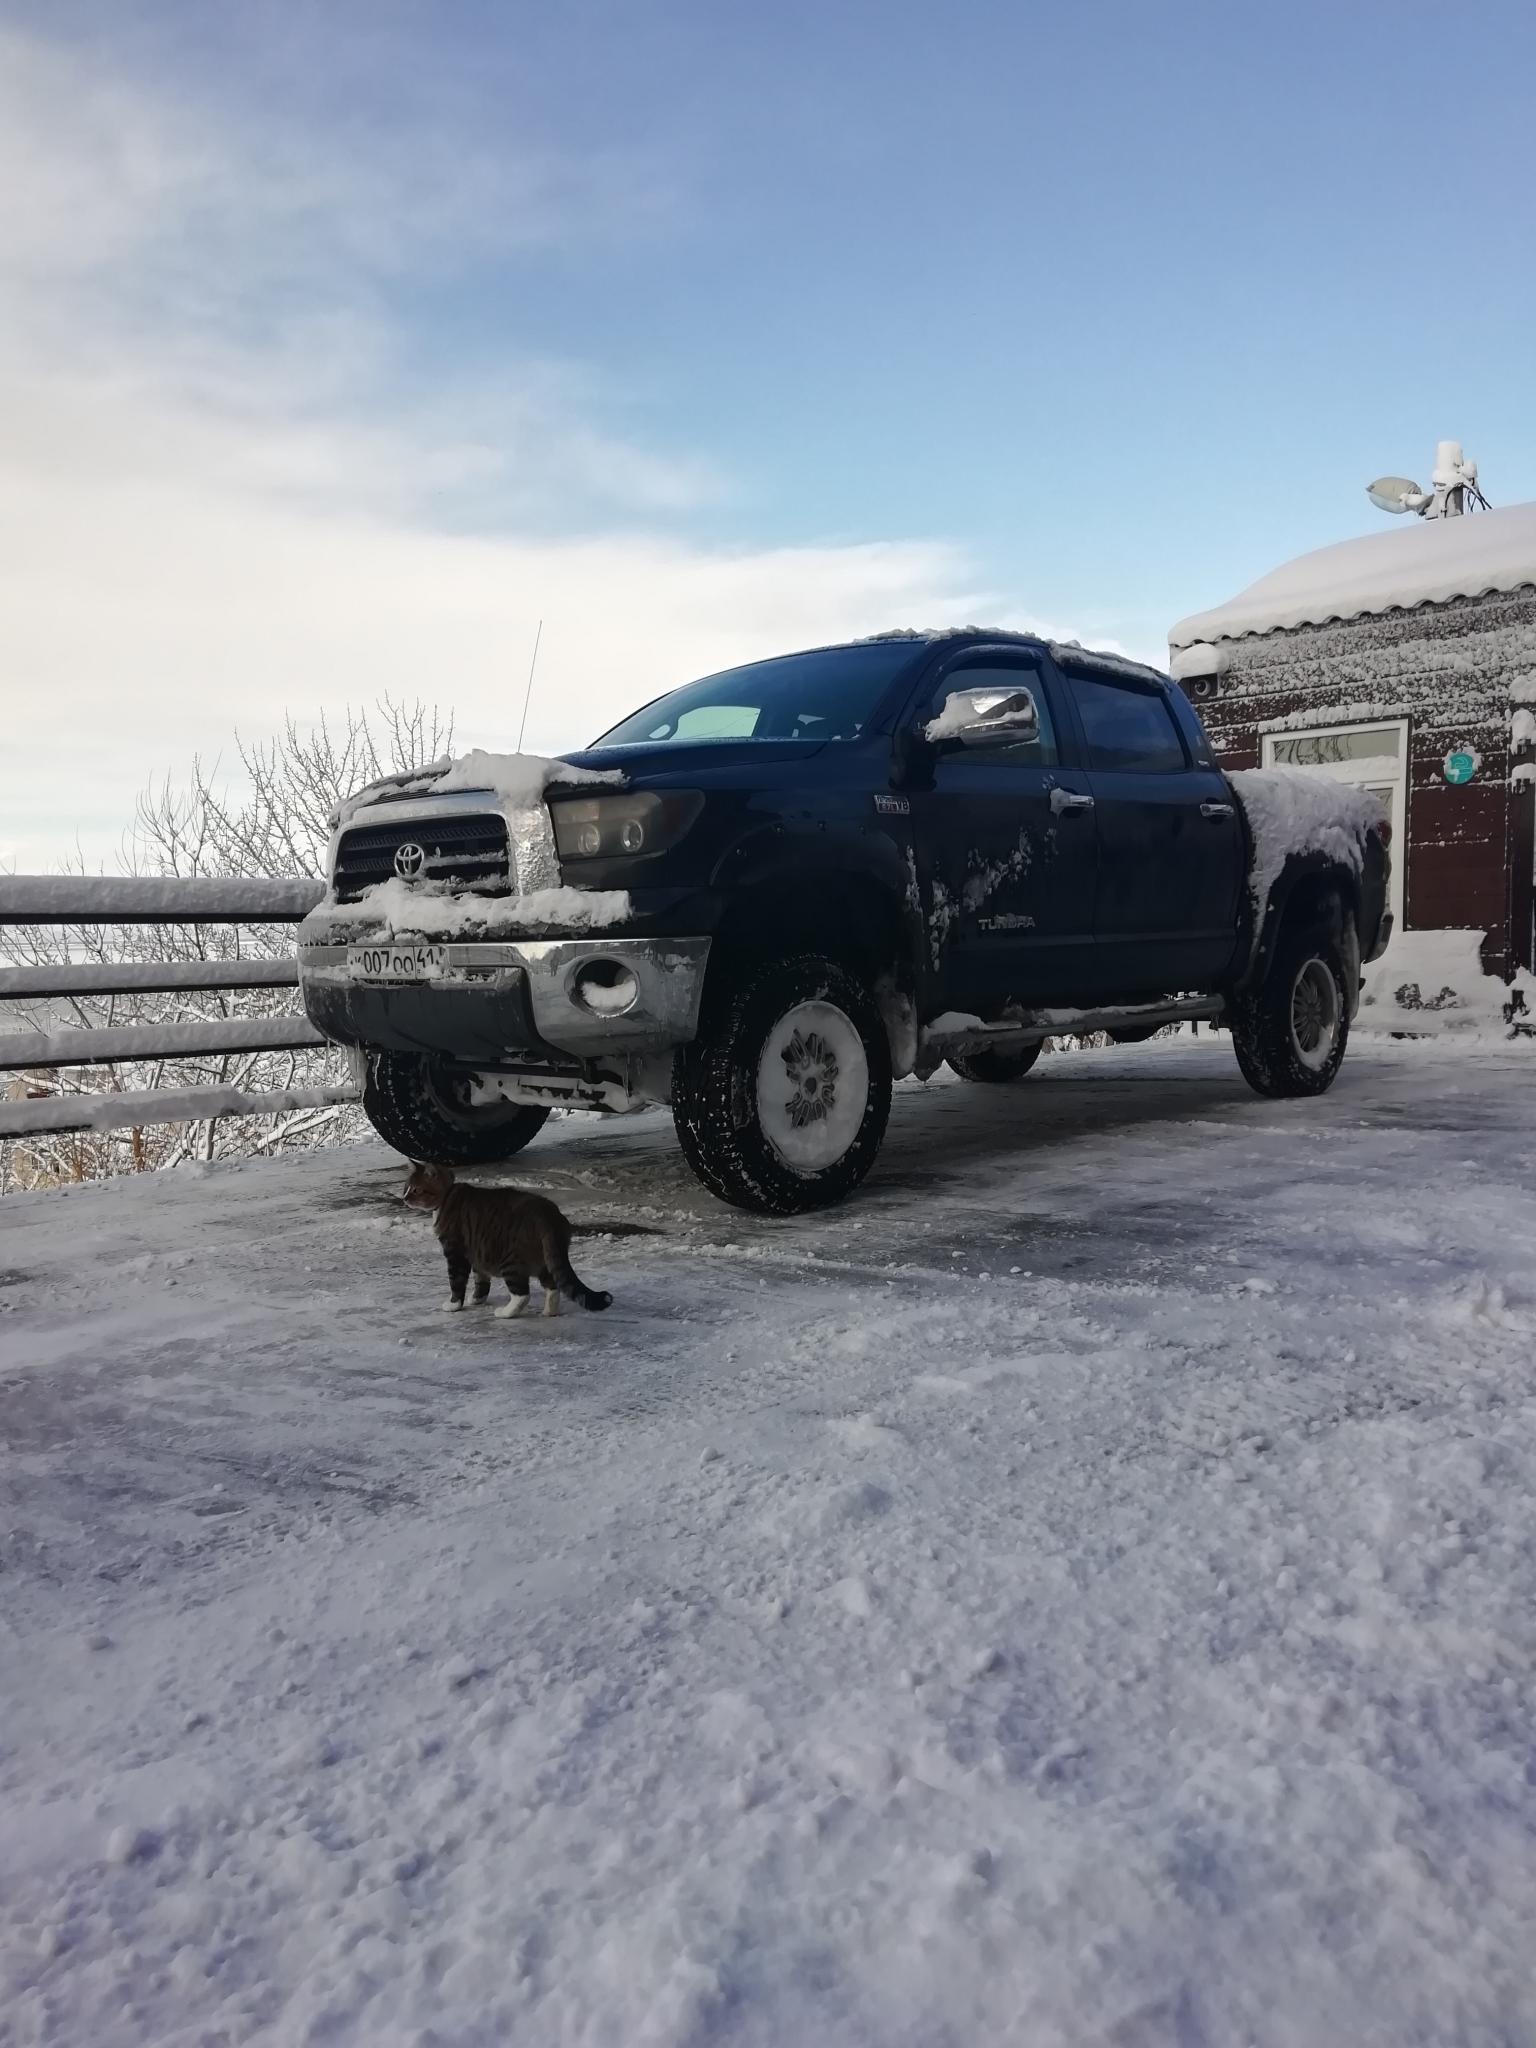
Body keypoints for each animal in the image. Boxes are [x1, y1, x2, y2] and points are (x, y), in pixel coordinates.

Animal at [405, 1163, 618, 1318]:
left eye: (415, 1190)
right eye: (406, 1188)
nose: (404, 1198)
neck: (448, 1195)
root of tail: (548, 1214)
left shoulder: (455, 1251)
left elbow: (456, 1281)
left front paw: (454, 1305)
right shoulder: (477, 1251)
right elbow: (481, 1279)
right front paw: (477, 1299)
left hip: (512, 1260)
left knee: (522, 1295)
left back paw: (505, 1313)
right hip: (545, 1258)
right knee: (553, 1286)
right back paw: (549, 1312)